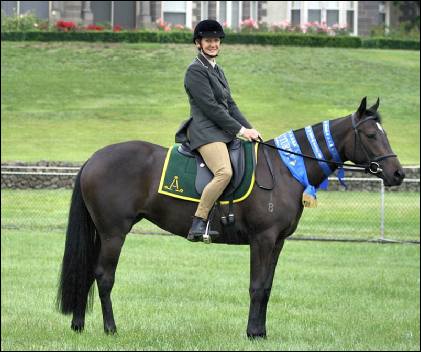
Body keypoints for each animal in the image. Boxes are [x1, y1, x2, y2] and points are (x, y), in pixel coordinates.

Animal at [55, 97, 404, 338]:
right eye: (371, 135)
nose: (398, 174)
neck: (284, 170)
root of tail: (94, 158)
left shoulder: (277, 242)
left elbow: (267, 286)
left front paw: (261, 332)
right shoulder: (262, 239)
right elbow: (257, 286)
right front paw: (252, 333)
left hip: (102, 233)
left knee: (87, 272)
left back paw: (78, 324)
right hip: (114, 233)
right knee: (104, 276)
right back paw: (110, 329)